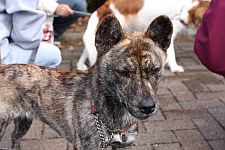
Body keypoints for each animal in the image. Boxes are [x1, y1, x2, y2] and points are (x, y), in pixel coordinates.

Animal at [0, 14, 172, 150]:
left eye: (154, 70)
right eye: (123, 72)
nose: (148, 107)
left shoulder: (123, 145)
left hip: (24, 121)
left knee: (15, 137)